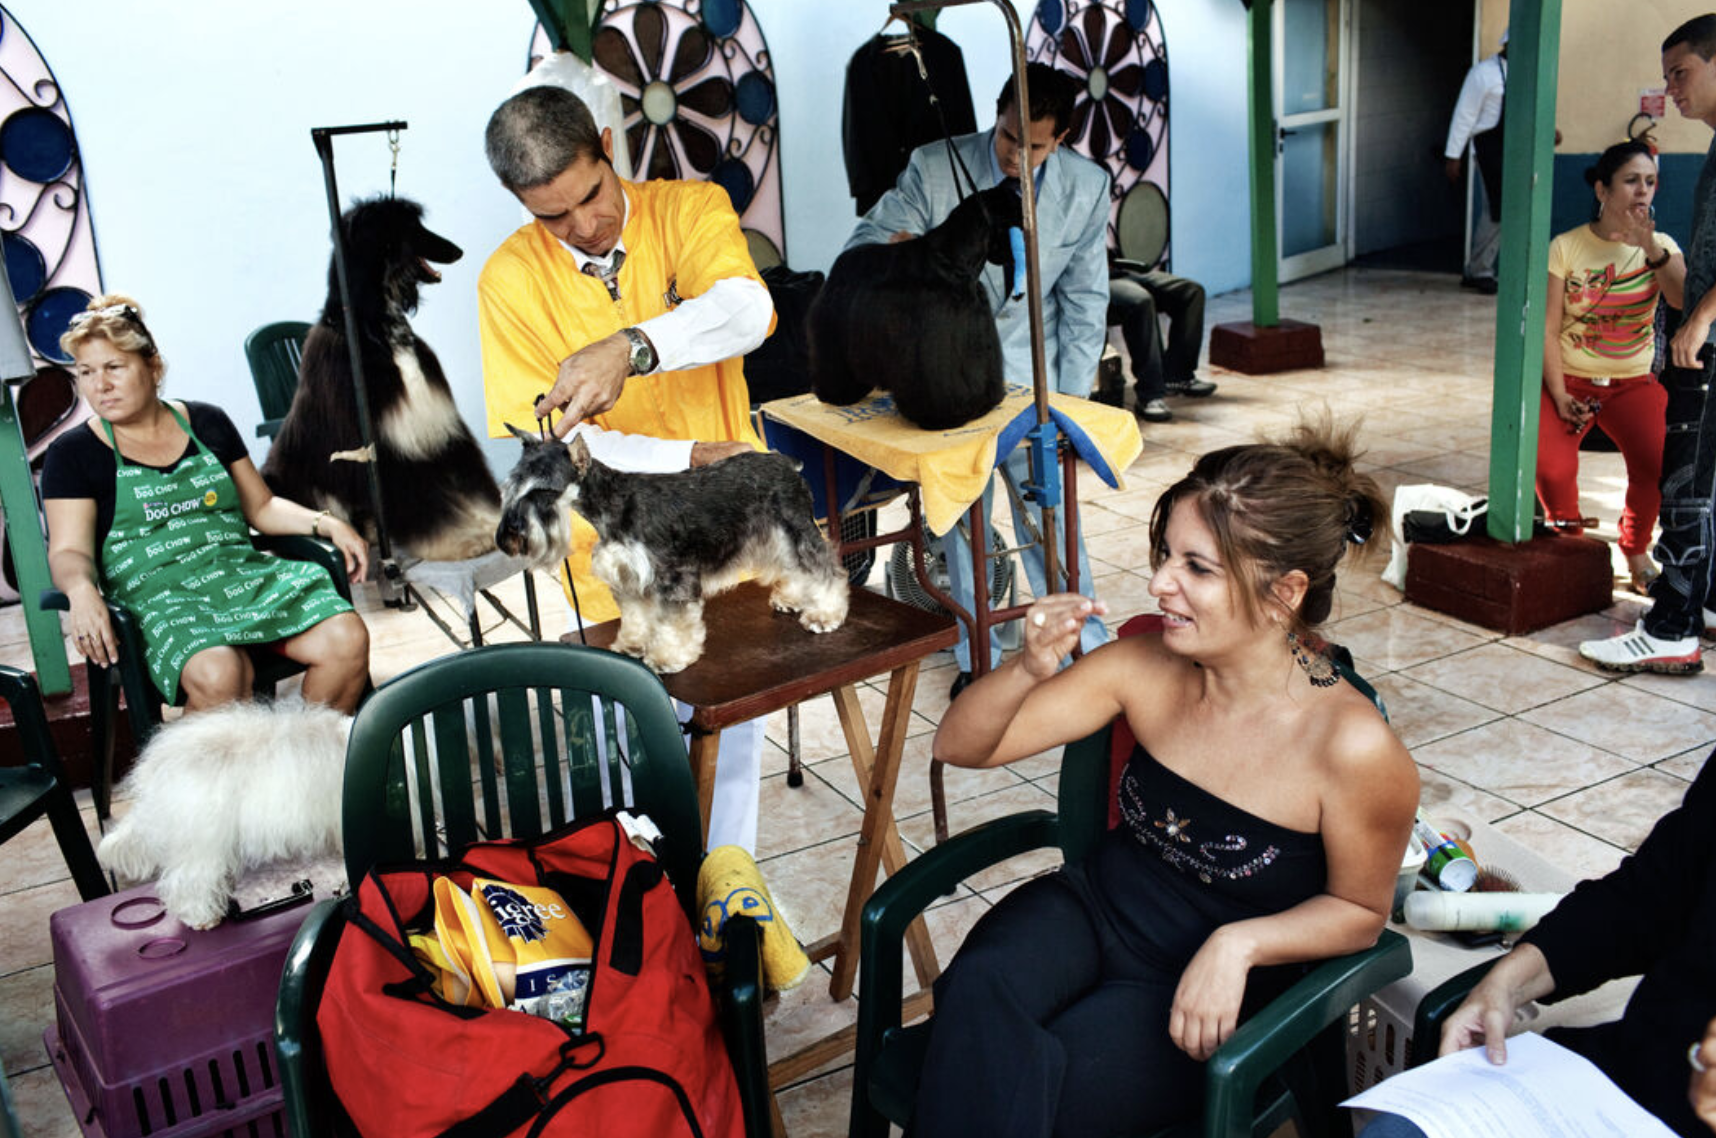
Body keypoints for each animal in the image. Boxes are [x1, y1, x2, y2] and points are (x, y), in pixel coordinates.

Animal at [262, 202, 501, 566]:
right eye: (411, 228)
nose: (457, 251)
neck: (376, 332)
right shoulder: (385, 448)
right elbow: (424, 504)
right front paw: (464, 540)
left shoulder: (435, 428)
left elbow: (467, 486)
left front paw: (489, 522)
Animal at [494, 429, 847, 676]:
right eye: (511, 486)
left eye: (543, 491)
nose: (507, 536)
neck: (613, 504)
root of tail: (784, 461)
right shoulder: (627, 578)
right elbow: (635, 616)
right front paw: (631, 644)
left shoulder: (673, 578)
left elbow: (673, 623)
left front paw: (667, 658)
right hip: (775, 537)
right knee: (794, 567)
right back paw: (791, 598)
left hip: (796, 530)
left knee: (826, 568)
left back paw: (825, 615)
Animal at [803, 182, 1015, 432]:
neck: (953, 260)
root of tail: (841, 261)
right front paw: (946, 417)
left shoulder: (975, 329)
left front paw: (981, 405)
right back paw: (839, 395)